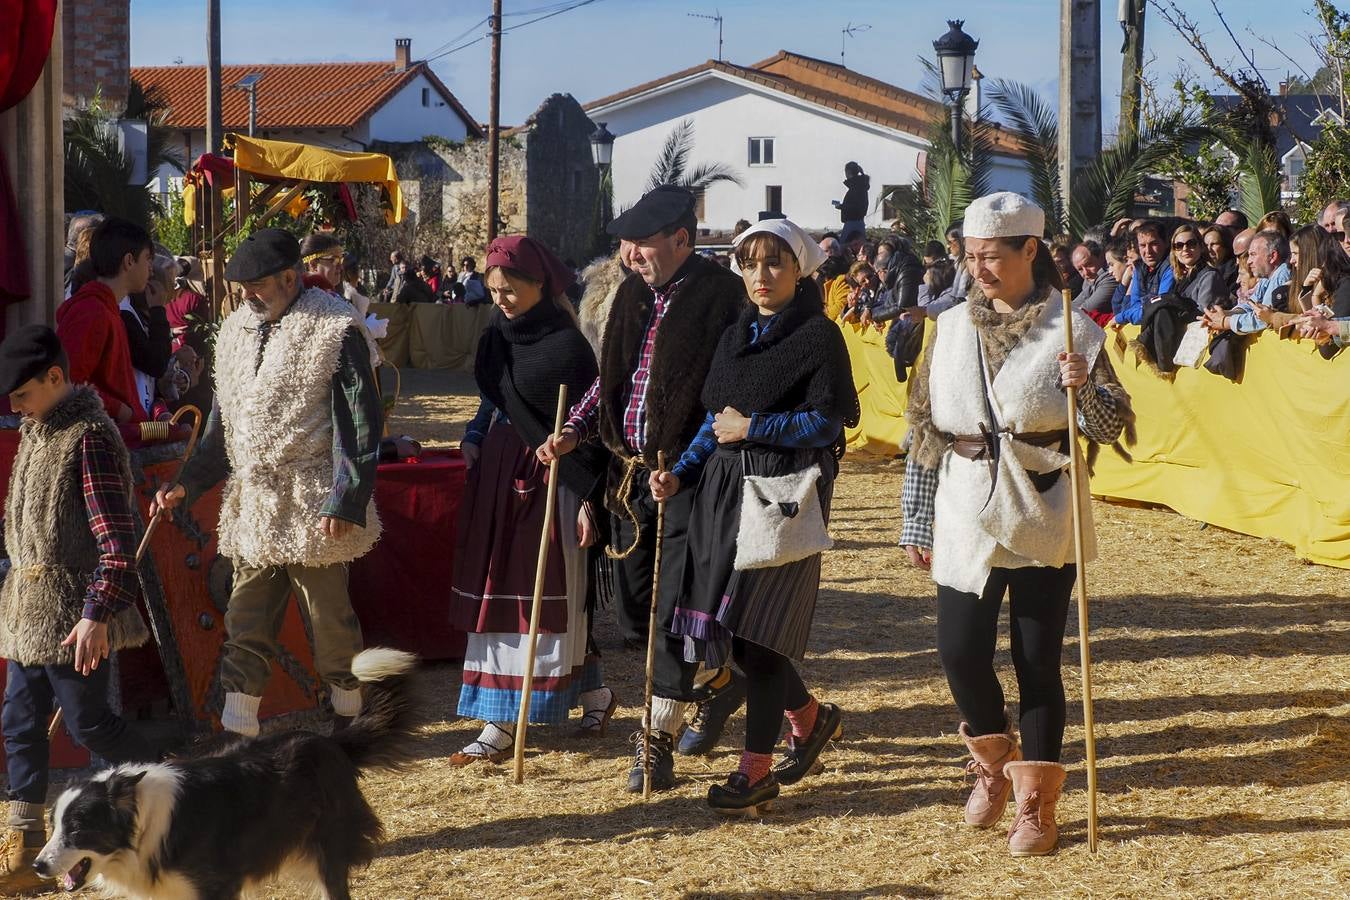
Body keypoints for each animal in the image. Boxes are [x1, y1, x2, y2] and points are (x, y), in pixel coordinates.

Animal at [34, 650, 421, 900]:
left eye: (78, 829)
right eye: (53, 825)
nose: (38, 865)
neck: (143, 826)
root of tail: (329, 741)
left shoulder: (216, 887)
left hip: (330, 848)